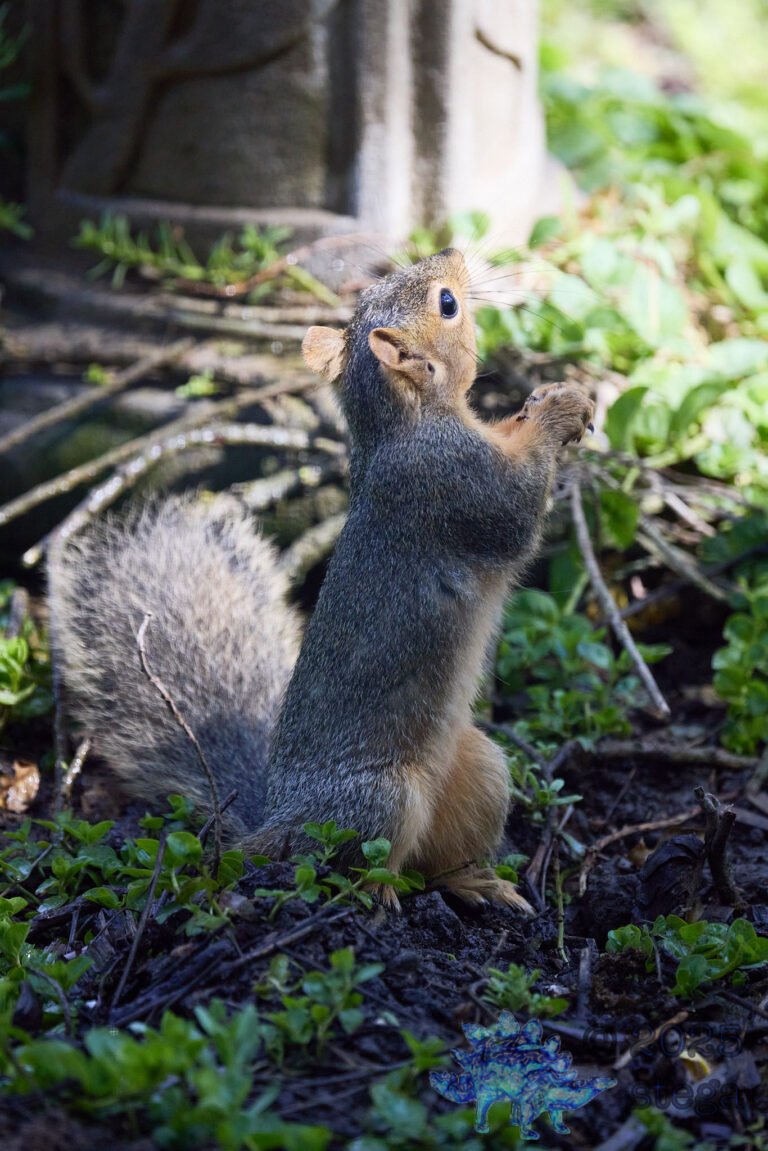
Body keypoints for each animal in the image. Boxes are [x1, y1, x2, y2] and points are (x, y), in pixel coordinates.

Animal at [48, 247, 594, 911]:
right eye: (447, 303)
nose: (455, 254)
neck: (401, 426)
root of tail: (275, 823)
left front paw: (552, 397)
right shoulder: (453, 482)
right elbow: (514, 518)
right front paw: (558, 413)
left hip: (479, 770)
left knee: (434, 866)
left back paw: (479, 884)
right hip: (379, 798)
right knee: (360, 865)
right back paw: (374, 898)